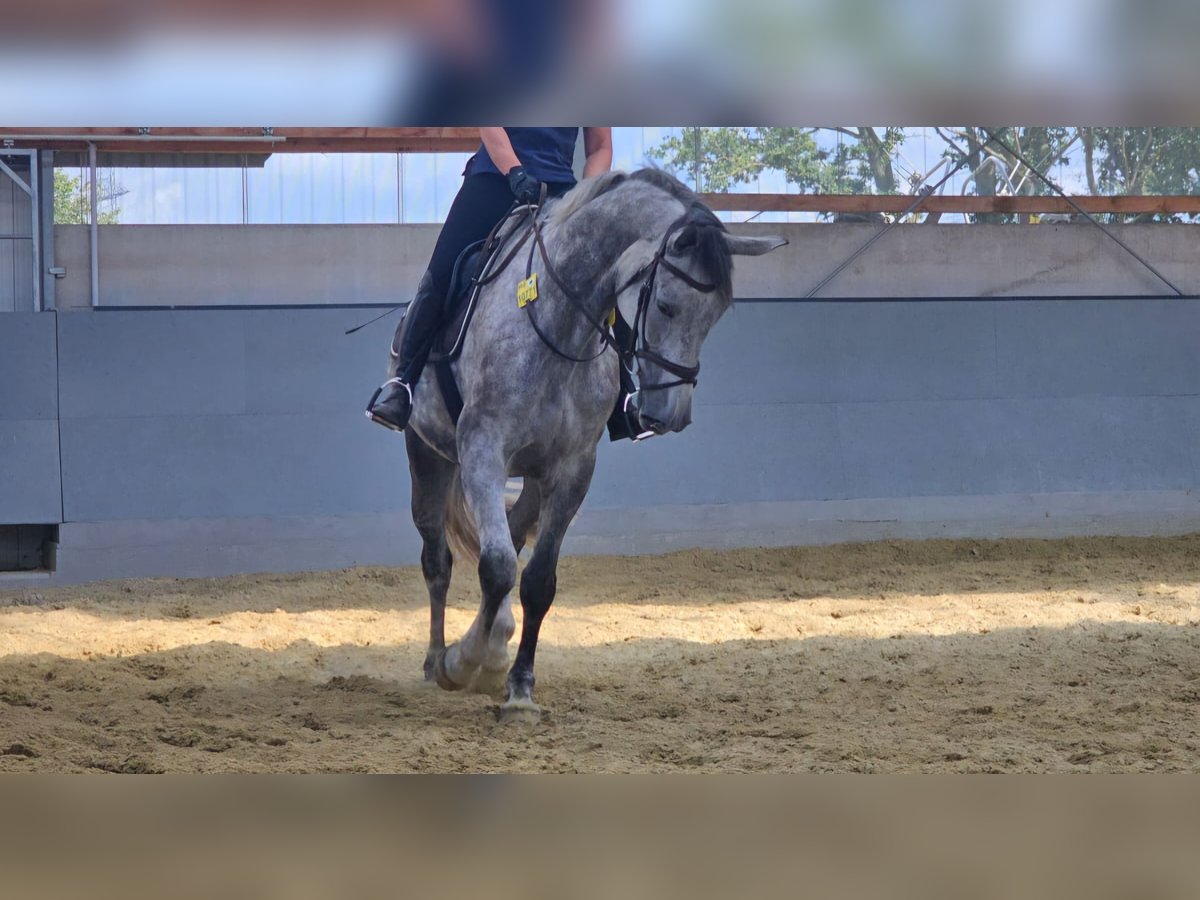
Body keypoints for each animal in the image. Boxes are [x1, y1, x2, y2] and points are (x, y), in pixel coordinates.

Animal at [398, 169, 782, 724]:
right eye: (665, 305)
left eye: (716, 316)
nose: (672, 415)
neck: (557, 327)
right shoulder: (482, 451)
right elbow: (495, 567)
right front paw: (464, 662)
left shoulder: (573, 470)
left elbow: (537, 580)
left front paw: (517, 688)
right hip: (427, 456)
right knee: (439, 560)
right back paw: (436, 660)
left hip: (532, 478)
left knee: (511, 541)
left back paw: (493, 642)